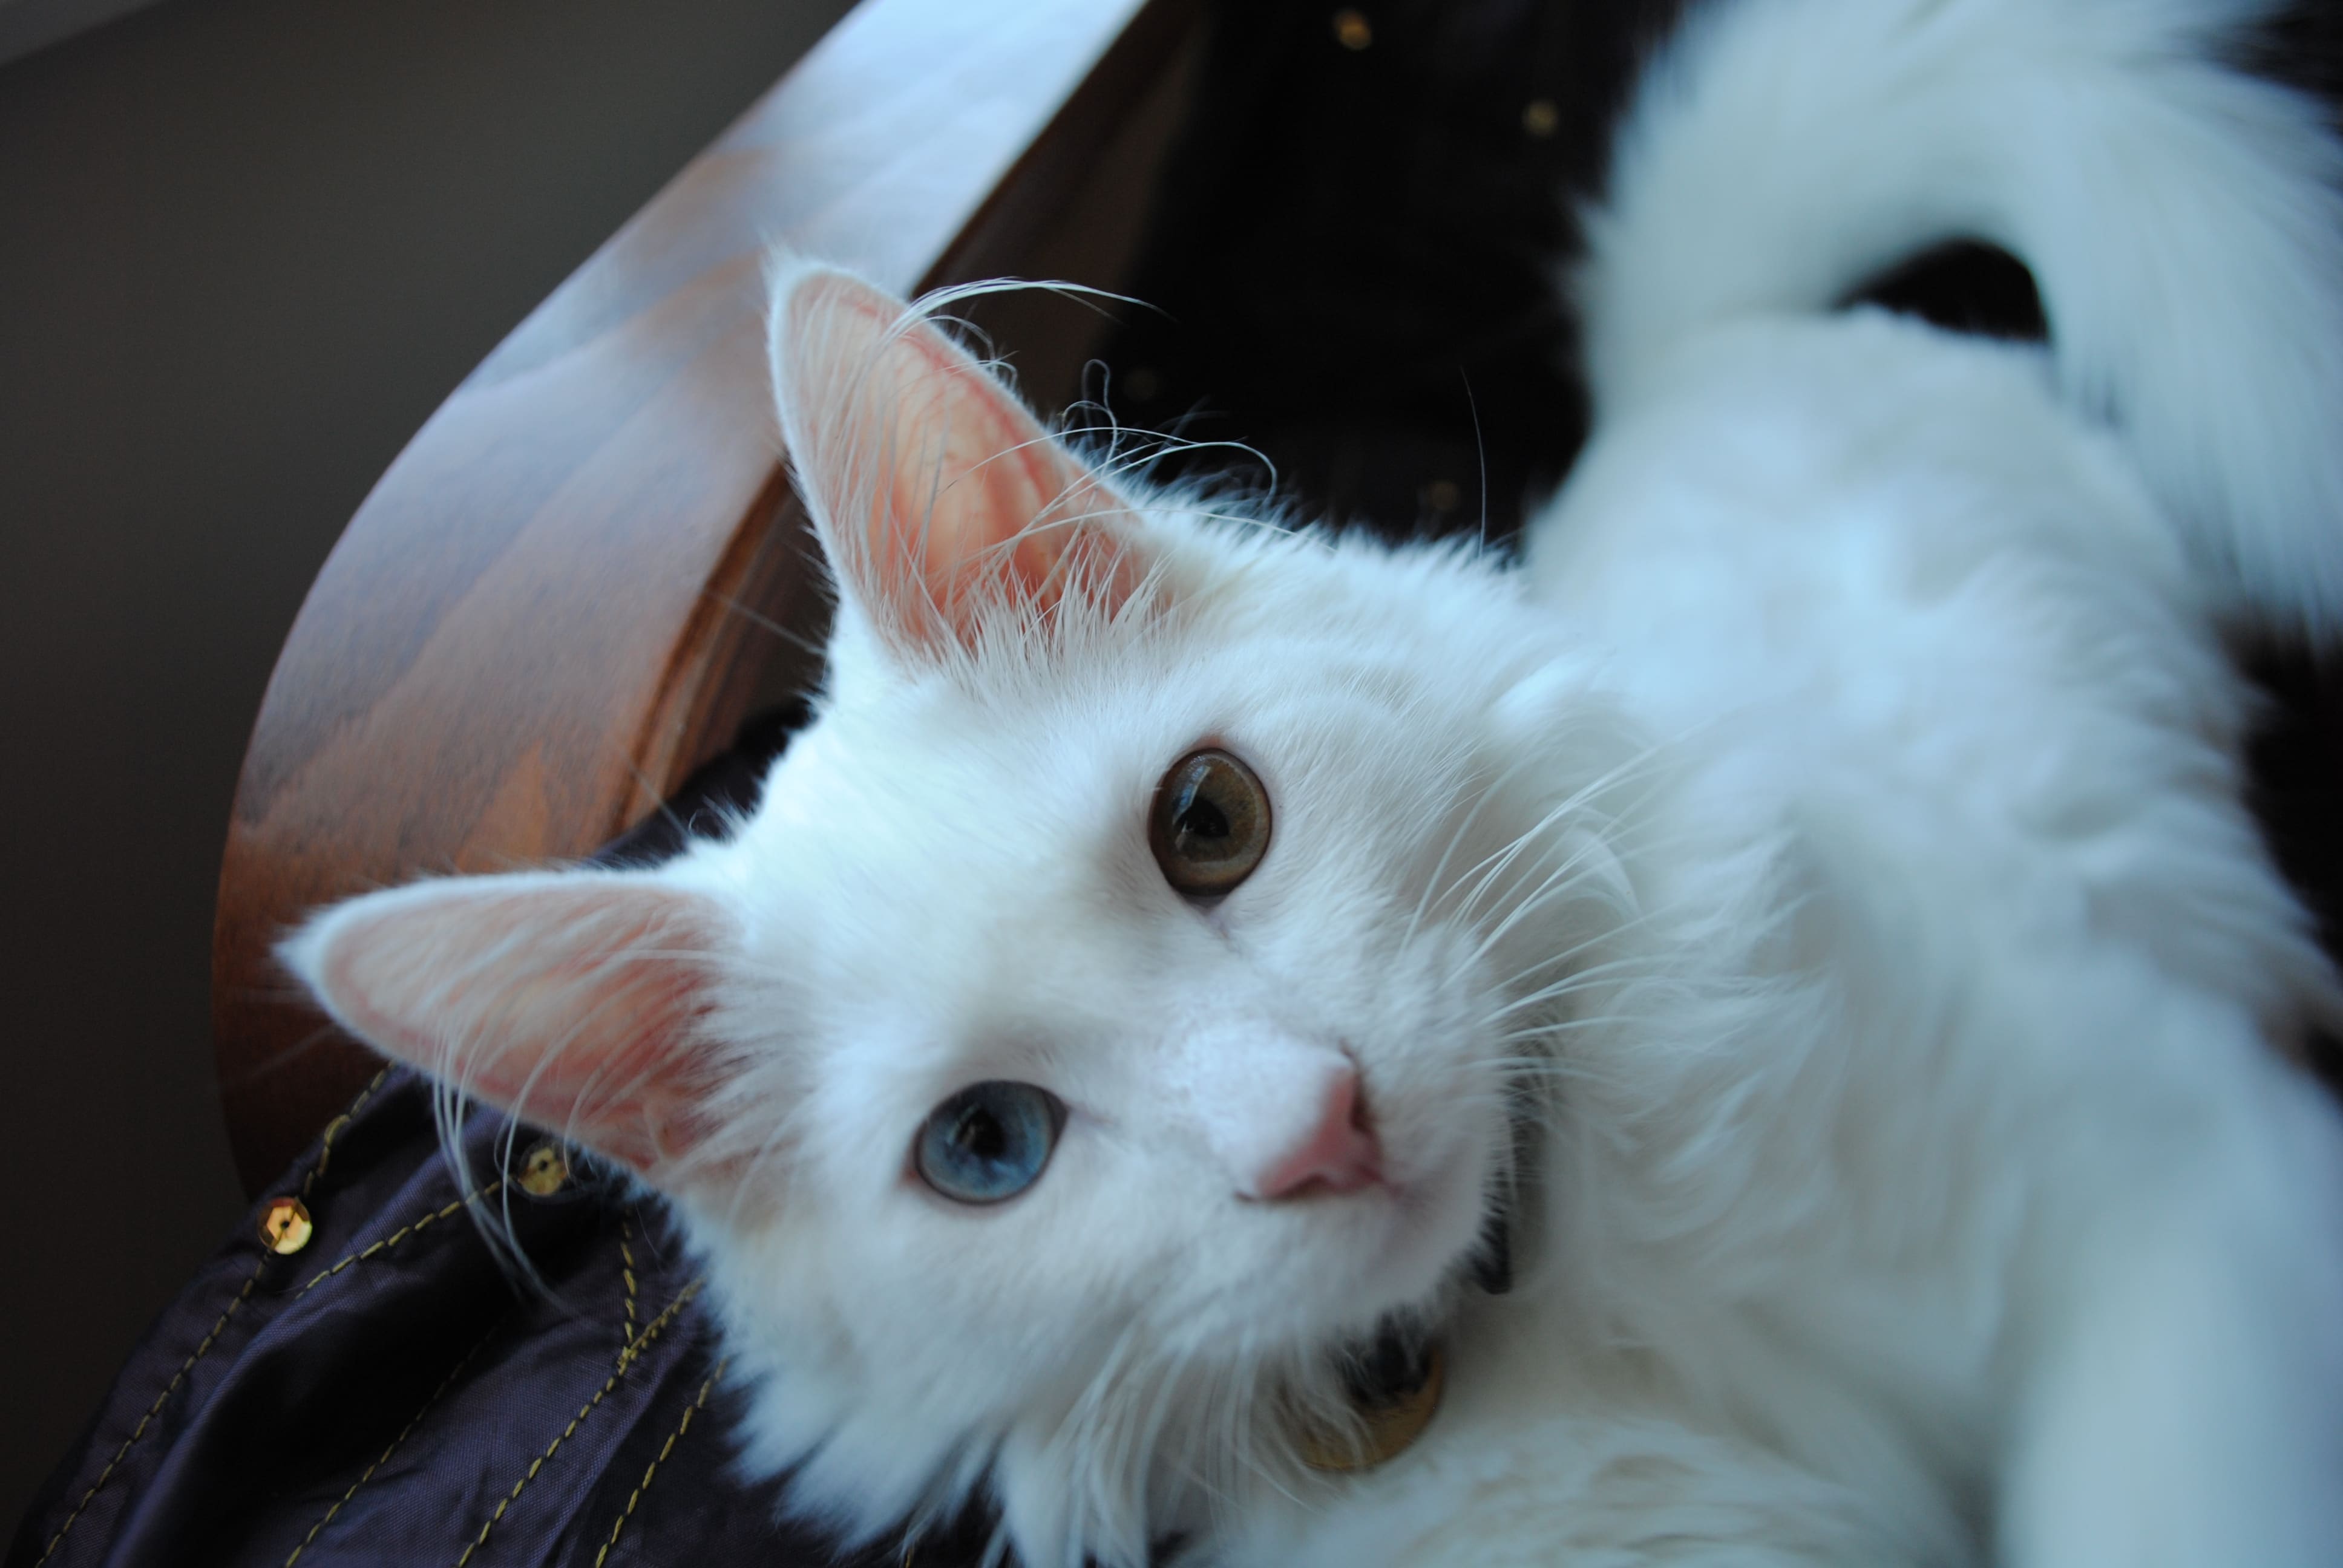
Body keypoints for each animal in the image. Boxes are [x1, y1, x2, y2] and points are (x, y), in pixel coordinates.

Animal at [283, 0, 2343, 1556]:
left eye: (1211, 826)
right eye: (987, 1149)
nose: (1316, 1130)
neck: (1559, 1280)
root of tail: (1697, 357)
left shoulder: (2167, 1184)